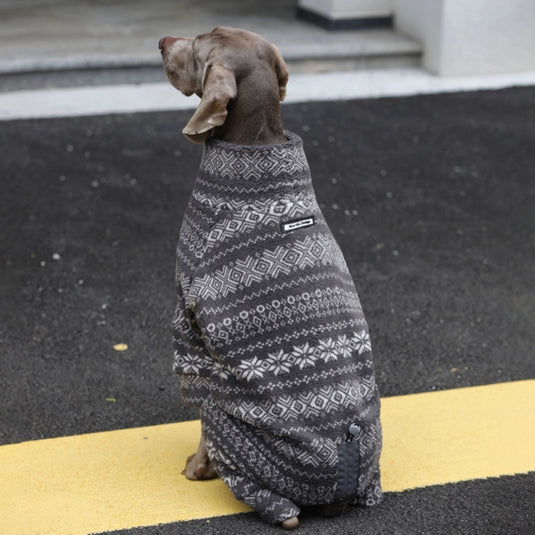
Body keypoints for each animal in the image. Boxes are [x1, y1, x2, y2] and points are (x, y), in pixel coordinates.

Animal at [158, 27, 382, 528]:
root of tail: (346, 457)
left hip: (230, 415)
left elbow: (194, 392)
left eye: (198, 43)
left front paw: (195, 468)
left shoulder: (189, 322)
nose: (161, 41)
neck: (256, 144)